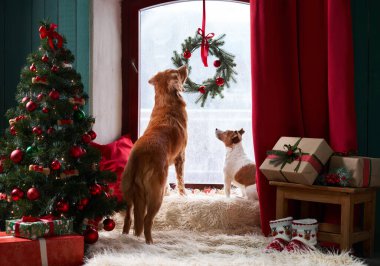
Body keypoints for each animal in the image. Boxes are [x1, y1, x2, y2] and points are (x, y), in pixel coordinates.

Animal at [121, 65, 188, 244]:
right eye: (177, 73)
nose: (185, 66)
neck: (167, 103)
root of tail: (138, 157)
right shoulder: (180, 156)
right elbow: (180, 180)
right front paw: (183, 195)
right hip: (155, 196)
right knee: (146, 220)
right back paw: (150, 242)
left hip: (127, 191)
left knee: (129, 216)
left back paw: (126, 235)